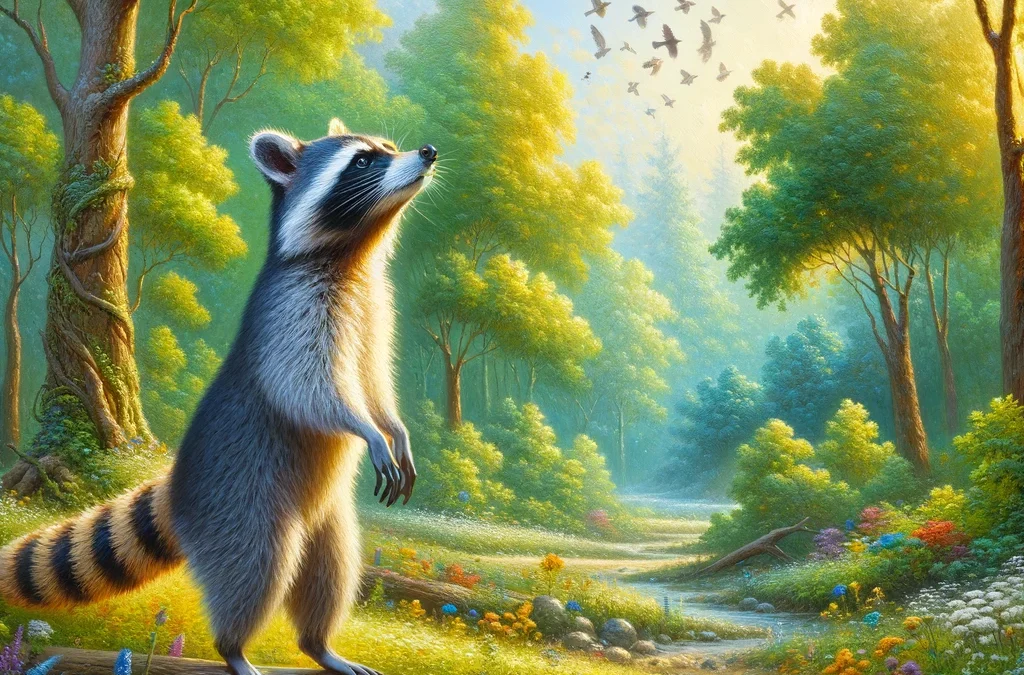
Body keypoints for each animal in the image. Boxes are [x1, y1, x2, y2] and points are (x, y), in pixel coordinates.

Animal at [0, 118, 437, 675]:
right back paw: (233, 648)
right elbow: (306, 388)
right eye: (363, 161)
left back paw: (318, 644)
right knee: (254, 569)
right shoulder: (292, 310)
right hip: (239, 503)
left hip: (324, 518)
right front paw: (366, 429)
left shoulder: (374, 306)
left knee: (332, 569)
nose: (427, 152)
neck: (353, 253)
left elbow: (375, 380)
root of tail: (180, 482)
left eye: (388, 148)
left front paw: (392, 427)